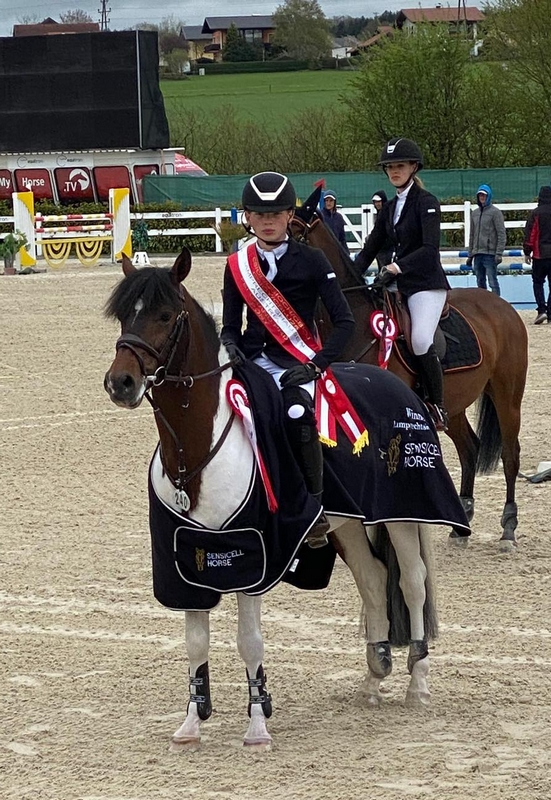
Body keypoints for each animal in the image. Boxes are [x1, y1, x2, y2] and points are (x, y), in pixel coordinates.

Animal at [103, 250, 470, 752]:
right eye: (124, 315)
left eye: (163, 315)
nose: (120, 382)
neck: (195, 453)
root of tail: (396, 384)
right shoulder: (186, 560)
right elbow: (195, 643)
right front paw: (192, 723)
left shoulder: (251, 557)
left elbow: (250, 641)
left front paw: (258, 724)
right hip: (348, 524)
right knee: (374, 580)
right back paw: (373, 680)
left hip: (401, 515)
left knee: (412, 582)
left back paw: (418, 681)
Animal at [294, 195, 532, 552]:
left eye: (295, 236)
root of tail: (503, 307)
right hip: (453, 405)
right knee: (469, 449)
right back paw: (461, 525)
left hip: (507, 394)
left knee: (509, 453)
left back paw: (508, 527)